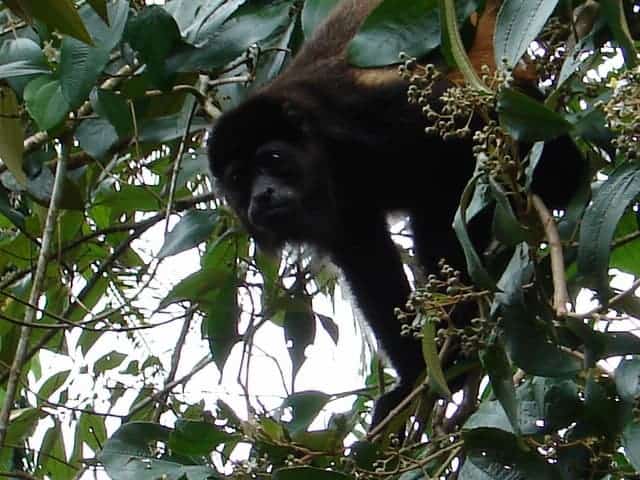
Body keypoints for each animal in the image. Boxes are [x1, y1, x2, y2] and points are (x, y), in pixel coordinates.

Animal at [208, 0, 584, 428]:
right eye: (238, 179)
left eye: (272, 159)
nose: (262, 196)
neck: (330, 158)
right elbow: (368, 262)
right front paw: (414, 377)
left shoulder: (369, 115)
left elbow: (468, 144)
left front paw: (453, 342)